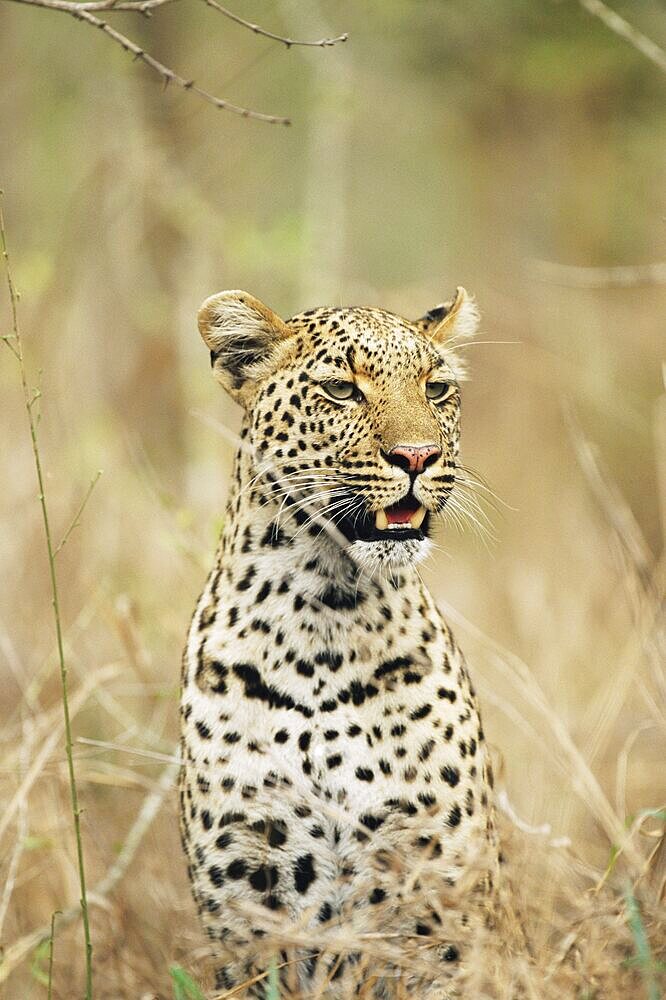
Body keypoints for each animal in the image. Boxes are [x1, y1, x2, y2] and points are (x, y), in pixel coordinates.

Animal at [179, 286, 496, 996]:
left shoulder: (442, 901)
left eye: (436, 389)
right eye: (341, 390)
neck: (324, 615)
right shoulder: (244, 907)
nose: (418, 457)